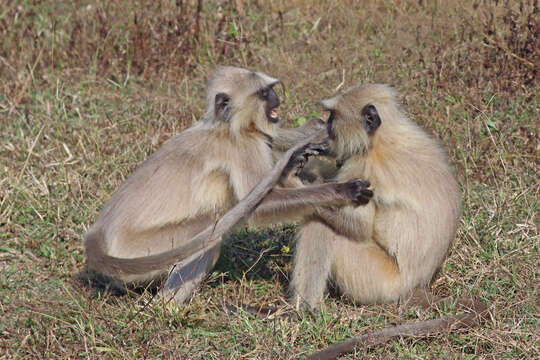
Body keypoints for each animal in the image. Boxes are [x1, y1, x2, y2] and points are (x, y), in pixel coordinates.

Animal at [84, 66, 374, 302]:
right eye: (264, 93)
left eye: (271, 89)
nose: (277, 98)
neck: (227, 125)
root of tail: (98, 233)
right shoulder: (244, 146)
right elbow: (259, 207)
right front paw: (343, 190)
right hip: (140, 248)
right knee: (209, 232)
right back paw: (166, 308)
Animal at [292, 83, 460, 308]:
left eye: (333, 118)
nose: (325, 128)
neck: (381, 138)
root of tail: (417, 285)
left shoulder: (363, 167)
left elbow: (359, 227)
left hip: (379, 281)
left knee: (322, 224)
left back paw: (303, 308)